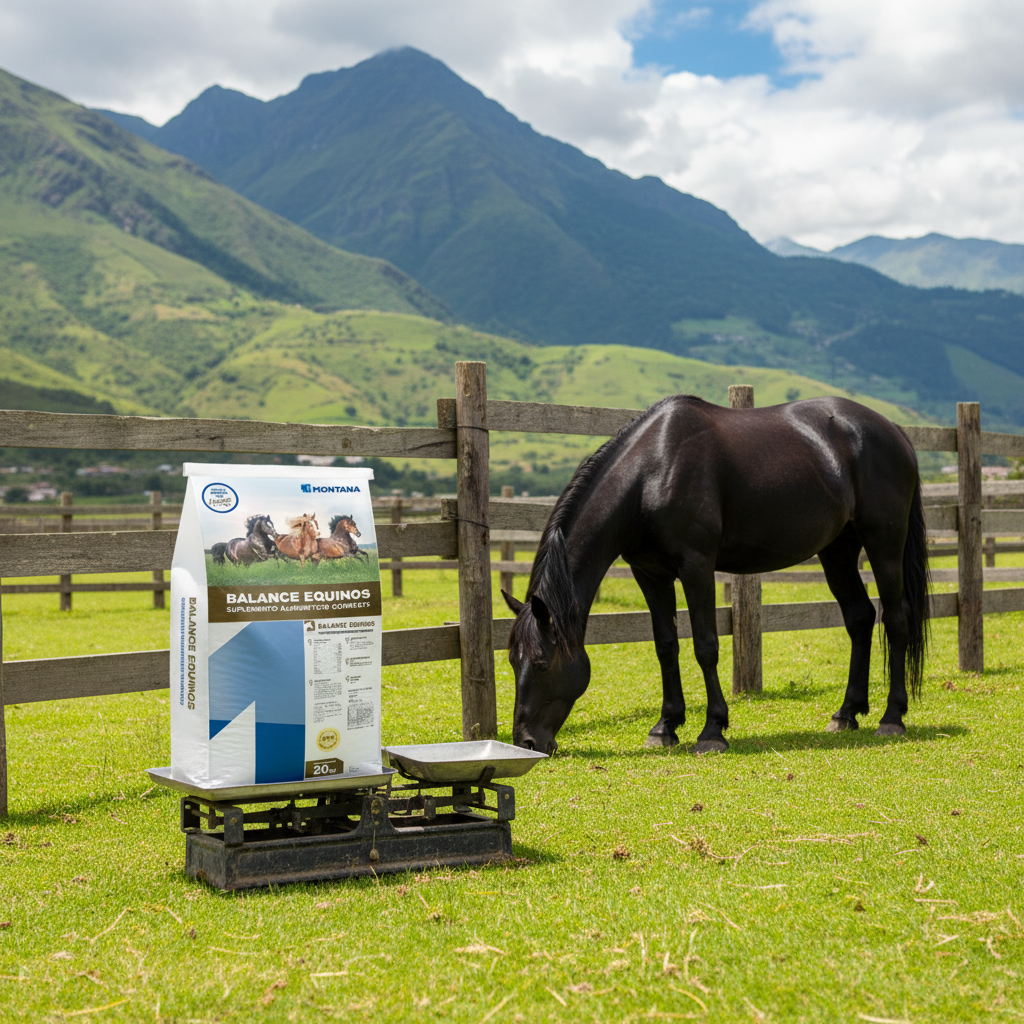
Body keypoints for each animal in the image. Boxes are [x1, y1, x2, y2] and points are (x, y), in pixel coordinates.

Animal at [502, 395, 929, 756]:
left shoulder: (697, 566)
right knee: (859, 618)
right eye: (511, 661)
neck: (652, 473)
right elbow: (665, 646)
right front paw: (665, 727)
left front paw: (712, 731)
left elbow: (705, 645)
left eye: (541, 663)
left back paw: (892, 718)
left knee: (895, 619)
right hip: (838, 550)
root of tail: (894, 431)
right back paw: (846, 713)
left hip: (884, 544)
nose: (526, 742)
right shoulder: (650, 574)